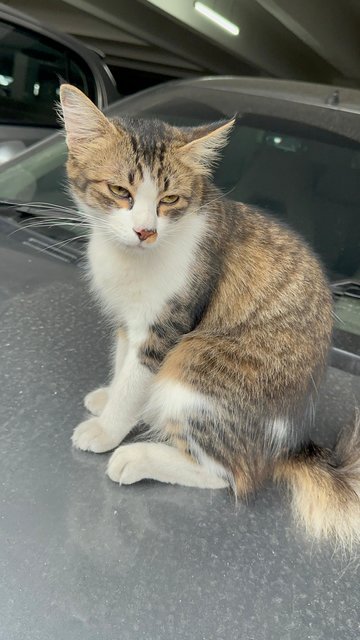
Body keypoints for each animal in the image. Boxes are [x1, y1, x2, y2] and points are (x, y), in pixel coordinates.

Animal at [59, 82, 360, 548]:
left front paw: (108, 428)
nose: (145, 231)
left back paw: (138, 457)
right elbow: (124, 366)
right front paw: (110, 398)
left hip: (197, 360)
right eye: (120, 192)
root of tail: (286, 445)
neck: (131, 259)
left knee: (230, 474)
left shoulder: (167, 327)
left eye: (169, 199)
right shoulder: (130, 322)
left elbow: (136, 380)